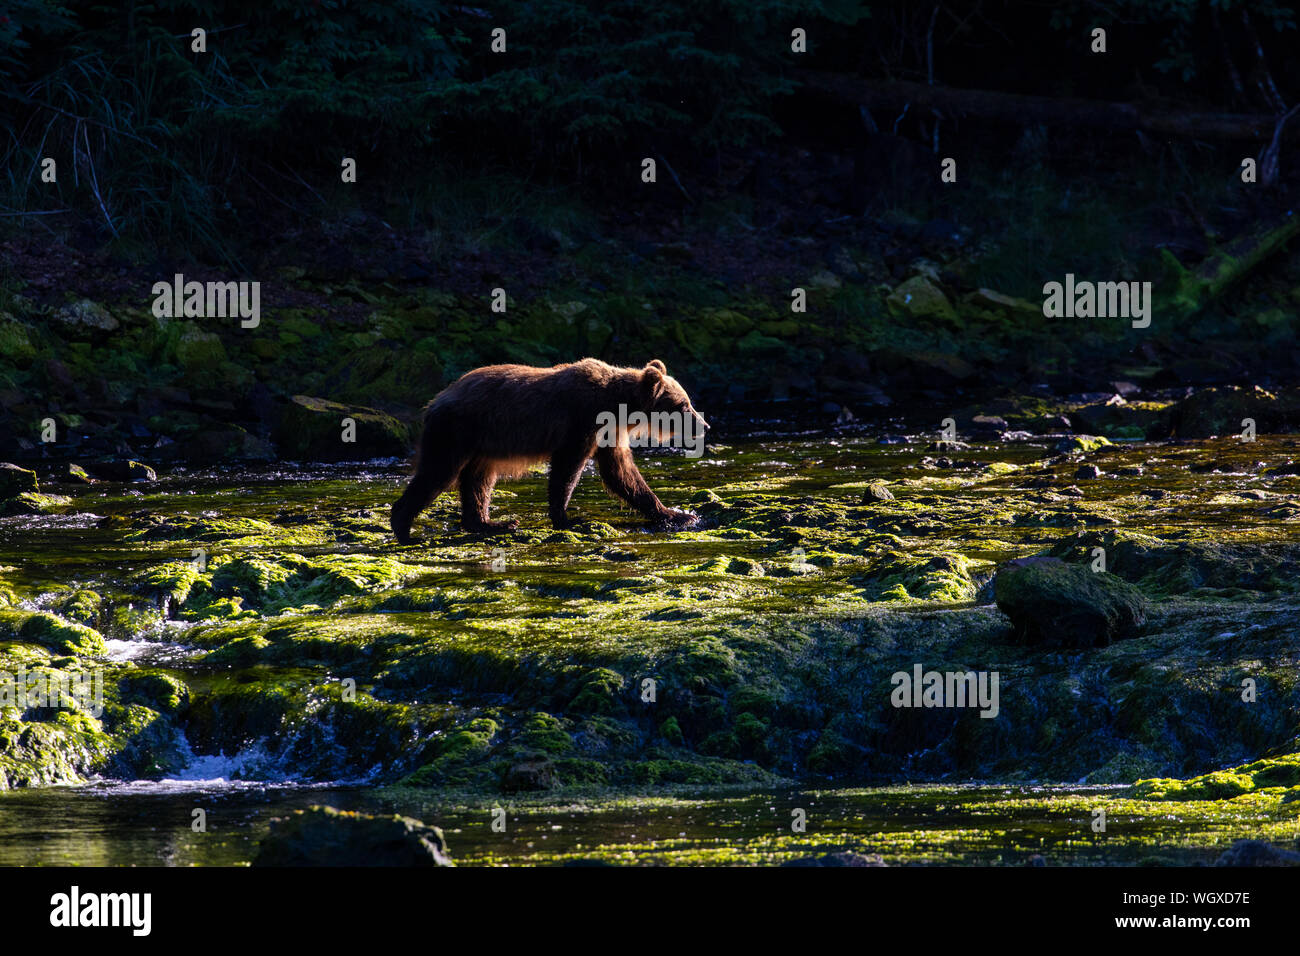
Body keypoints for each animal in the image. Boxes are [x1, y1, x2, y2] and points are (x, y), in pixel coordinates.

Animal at [390, 356, 712, 541]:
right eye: (684, 404)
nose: (705, 425)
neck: (619, 407)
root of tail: (434, 401)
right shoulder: (582, 420)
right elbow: (567, 469)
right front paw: (568, 518)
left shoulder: (610, 433)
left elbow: (622, 474)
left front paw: (676, 514)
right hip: (456, 430)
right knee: (438, 473)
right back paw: (404, 526)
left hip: (483, 444)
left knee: (478, 481)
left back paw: (491, 523)